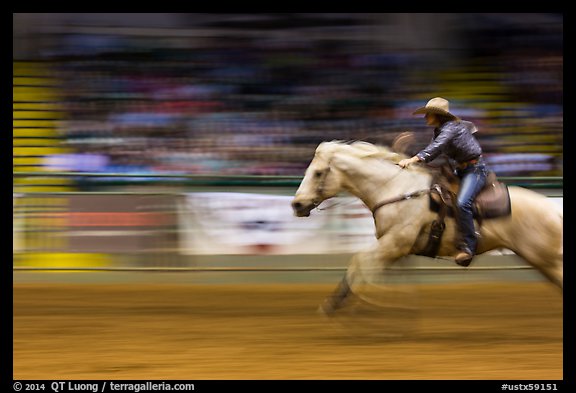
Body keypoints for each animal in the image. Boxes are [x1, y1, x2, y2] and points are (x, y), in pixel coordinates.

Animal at [292, 139, 564, 314]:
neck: (396, 189)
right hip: (544, 262)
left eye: (318, 173)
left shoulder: (394, 243)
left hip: (548, 260)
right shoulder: (395, 250)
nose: (297, 204)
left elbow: (359, 262)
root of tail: (553, 209)